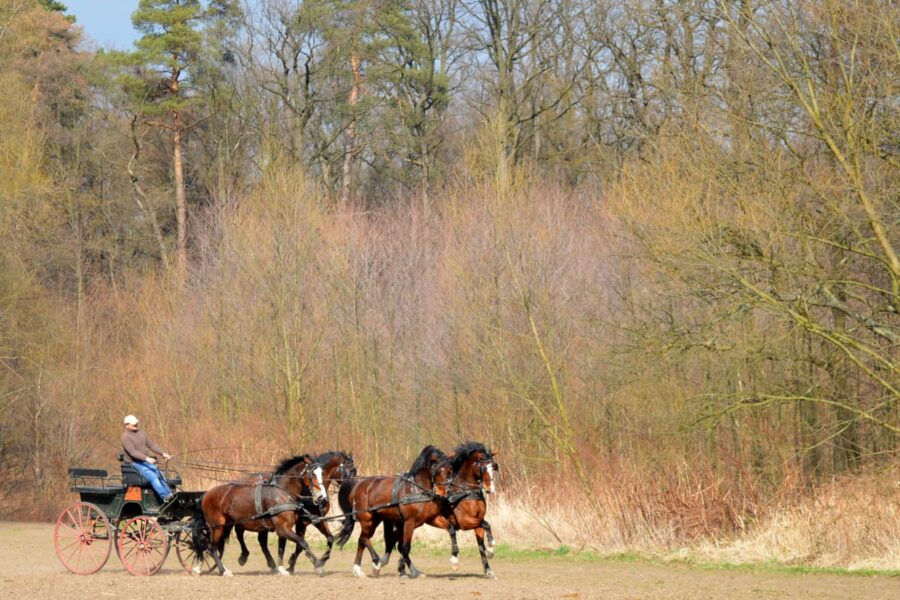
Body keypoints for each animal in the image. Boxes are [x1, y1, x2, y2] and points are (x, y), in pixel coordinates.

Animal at [197, 454, 326, 576]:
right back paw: (223, 571)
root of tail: (206, 495)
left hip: (228, 524)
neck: (282, 493)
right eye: (313, 474)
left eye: (322, 473)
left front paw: (281, 569)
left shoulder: (284, 529)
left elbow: (281, 548)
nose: (322, 497)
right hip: (217, 526)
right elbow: (303, 542)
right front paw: (318, 566)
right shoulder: (283, 528)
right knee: (212, 547)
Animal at [336, 446, 454, 576]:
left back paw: (358, 569)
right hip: (368, 520)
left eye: (450, 471)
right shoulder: (409, 522)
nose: (442, 493)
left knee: (362, 540)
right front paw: (408, 570)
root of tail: (357, 485)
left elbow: (451, 529)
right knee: (363, 539)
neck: (417, 490)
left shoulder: (429, 519)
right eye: (437, 470)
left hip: (375, 520)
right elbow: (405, 547)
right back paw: (374, 561)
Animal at [378, 442, 500, 580]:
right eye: (483, 468)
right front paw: (491, 548)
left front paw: (489, 569)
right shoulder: (465, 522)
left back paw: (401, 568)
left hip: (410, 523)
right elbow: (486, 525)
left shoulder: (477, 522)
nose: (491, 489)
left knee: (397, 543)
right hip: (408, 523)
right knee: (397, 543)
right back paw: (388, 566)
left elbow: (481, 546)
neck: (465, 491)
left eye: (494, 467)